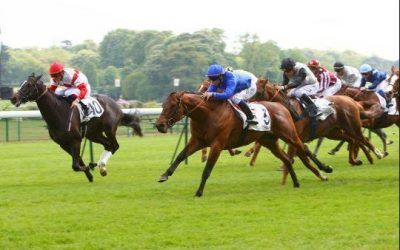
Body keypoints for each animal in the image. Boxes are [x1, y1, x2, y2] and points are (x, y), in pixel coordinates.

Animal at [10, 73, 144, 182]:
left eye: (29, 85)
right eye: (21, 84)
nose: (13, 98)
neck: (58, 112)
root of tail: (117, 106)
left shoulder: (75, 140)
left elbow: (75, 165)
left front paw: (91, 166)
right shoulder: (63, 143)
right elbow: (78, 160)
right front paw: (90, 175)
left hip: (109, 129)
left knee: (115, 146)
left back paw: (100, 165)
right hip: (93, 134)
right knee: (108, 145)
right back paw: (101, 167)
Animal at [155, 91, 332, 196]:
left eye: (172, 105)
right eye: (163, 105)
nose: (159, 125)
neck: (207, 114)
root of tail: (281, 106)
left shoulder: (217, 145)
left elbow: (207, 169)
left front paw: (199, 192)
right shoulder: (198, 141)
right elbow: (179, 156)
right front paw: (164, 175)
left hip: (289, 134)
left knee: (303, 148)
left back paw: (325, 169)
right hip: (269, 141)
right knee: (288, 159)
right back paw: (296, 183)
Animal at [248, 79, 382, 171]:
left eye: (258, 92)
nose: (248, 104)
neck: (290, 110)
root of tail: (352, 101)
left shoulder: (296, 137)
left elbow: (300, 151)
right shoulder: (293, 138)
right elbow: (302, 151)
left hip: (352, 127)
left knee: (363, 139)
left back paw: (378, 154)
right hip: (333, 132)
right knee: (352, 140)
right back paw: (354, 161)